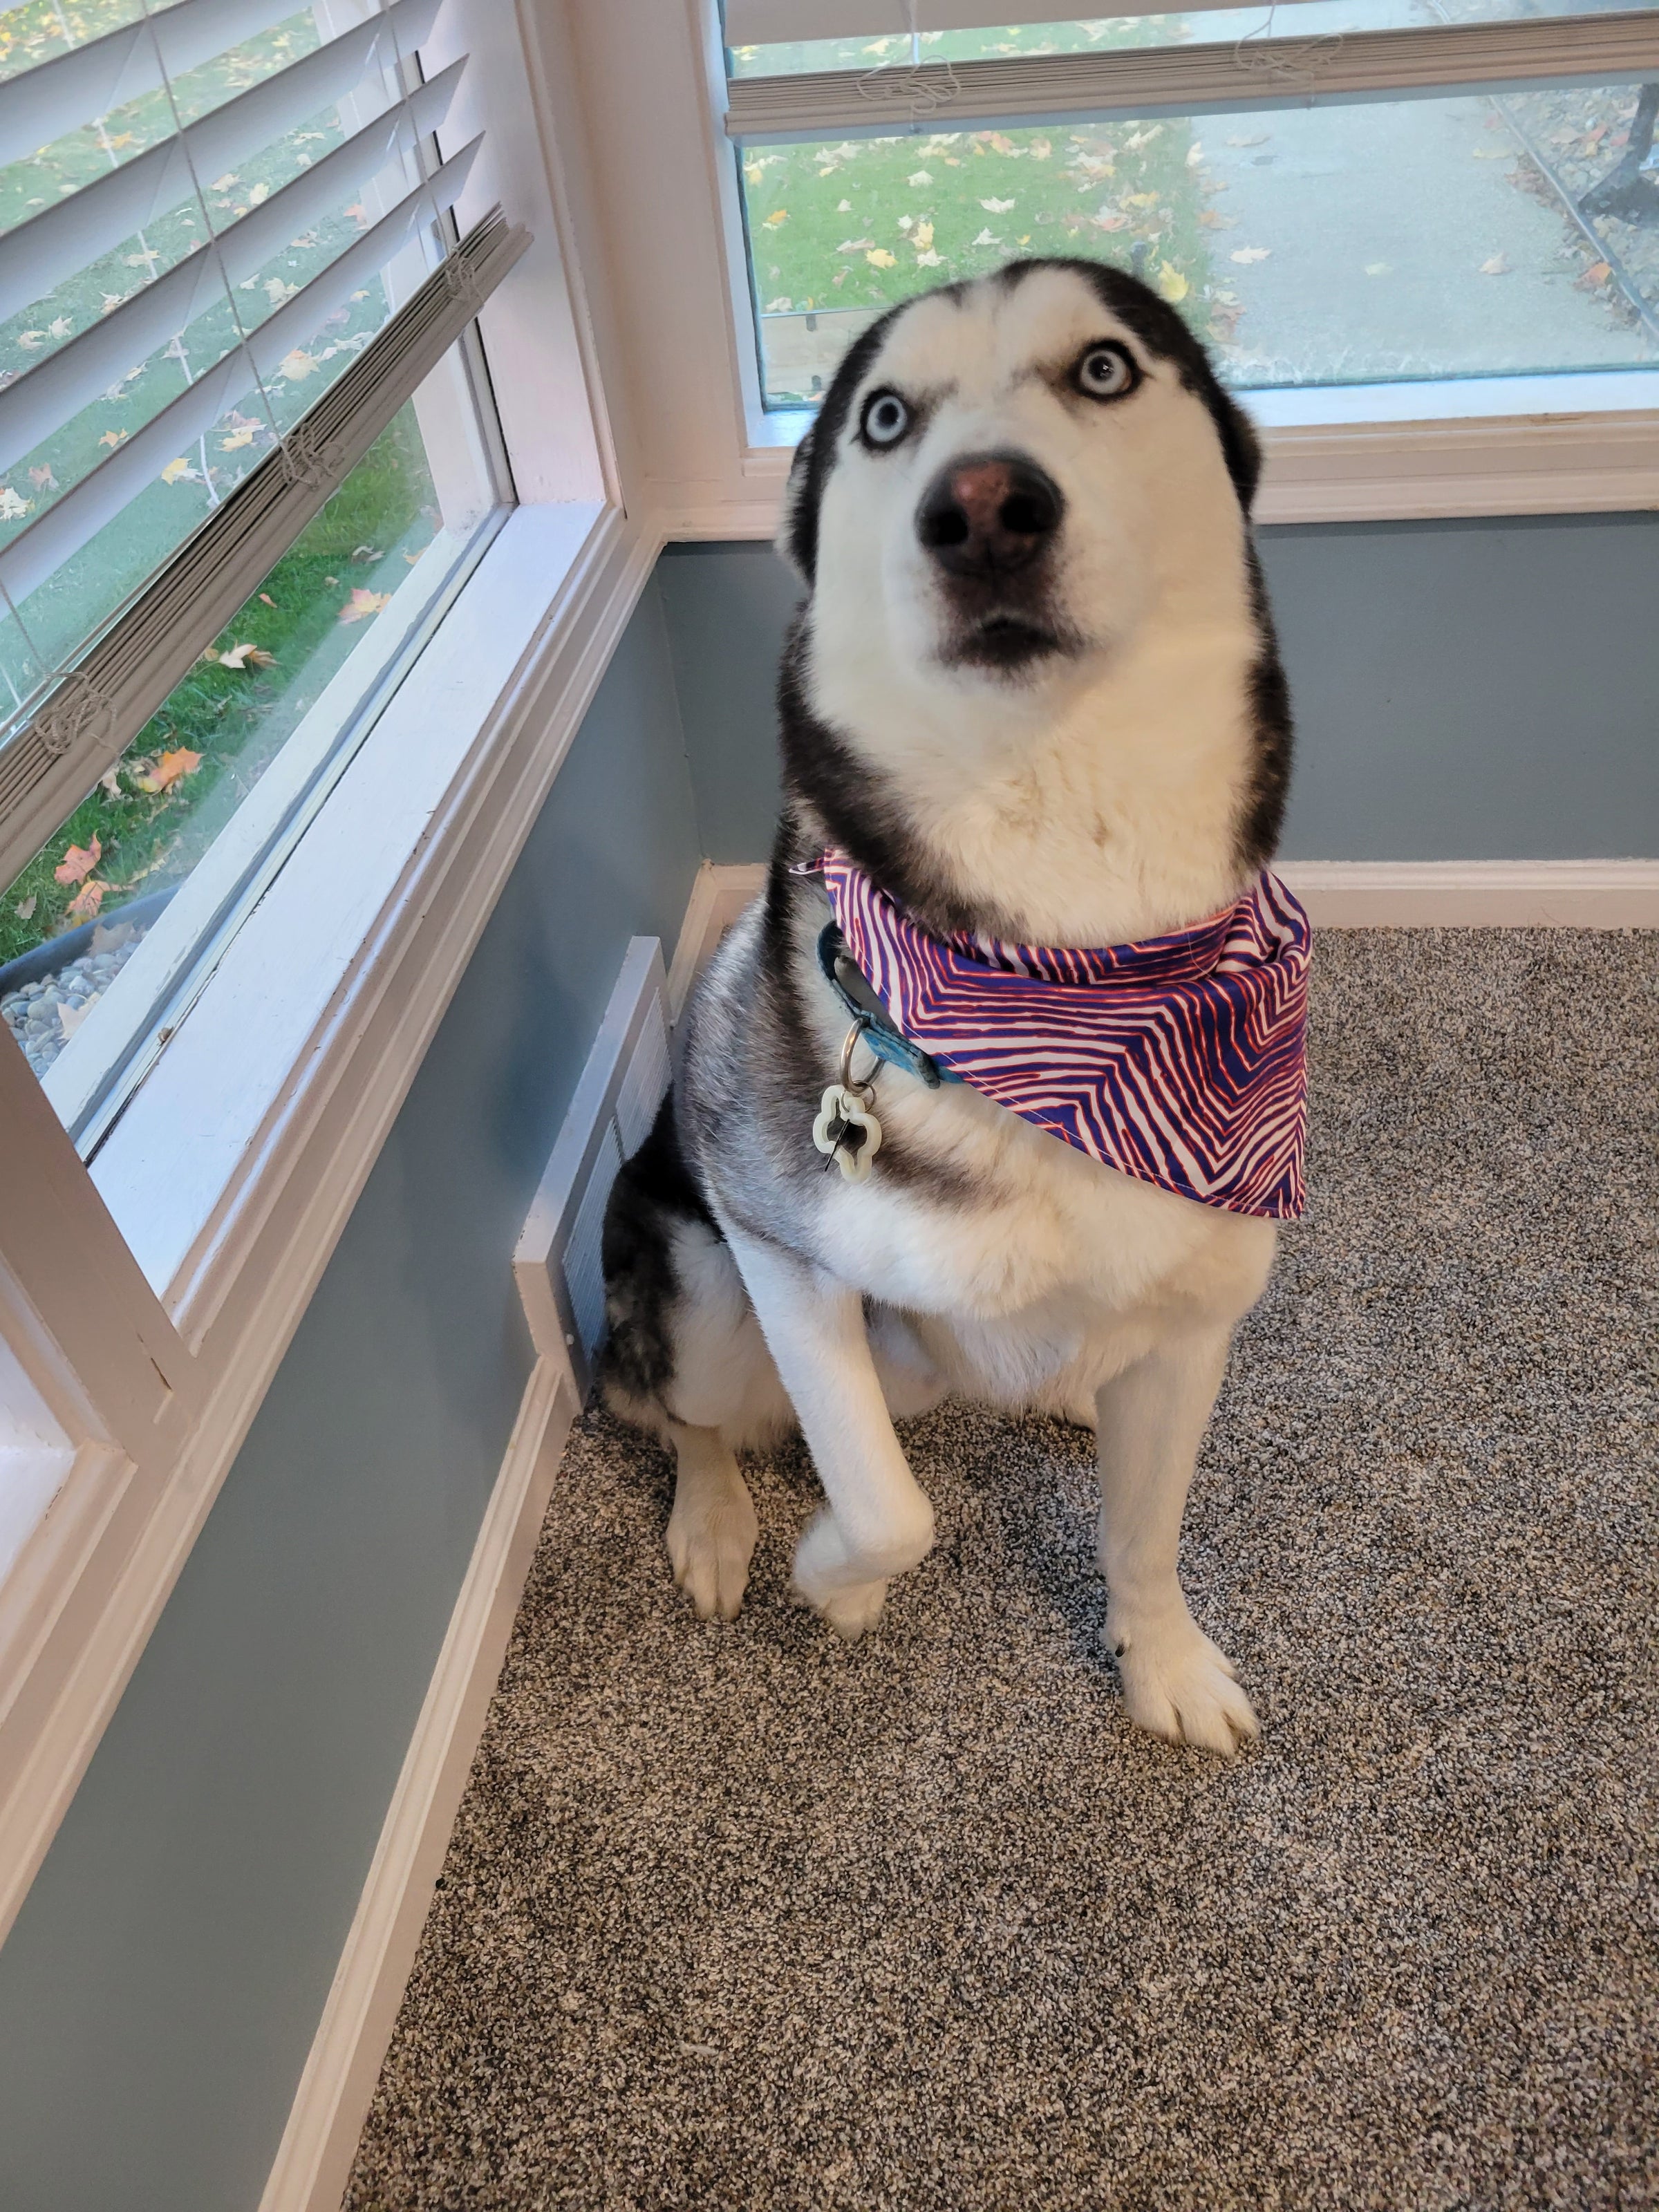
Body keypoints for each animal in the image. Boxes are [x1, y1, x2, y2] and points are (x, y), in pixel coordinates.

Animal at [606, 259, 1300, 1752]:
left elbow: (1148, 1536)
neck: (1065, 966)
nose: (983, 507)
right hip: (693, 1290)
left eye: (1103, 368)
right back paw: (717, 1521)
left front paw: (1162, 1659)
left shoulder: (1203, 1320)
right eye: (884, 415)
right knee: (683, 1413)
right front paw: (835, 1579)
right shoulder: (782, 1254)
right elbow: (887, 1501)